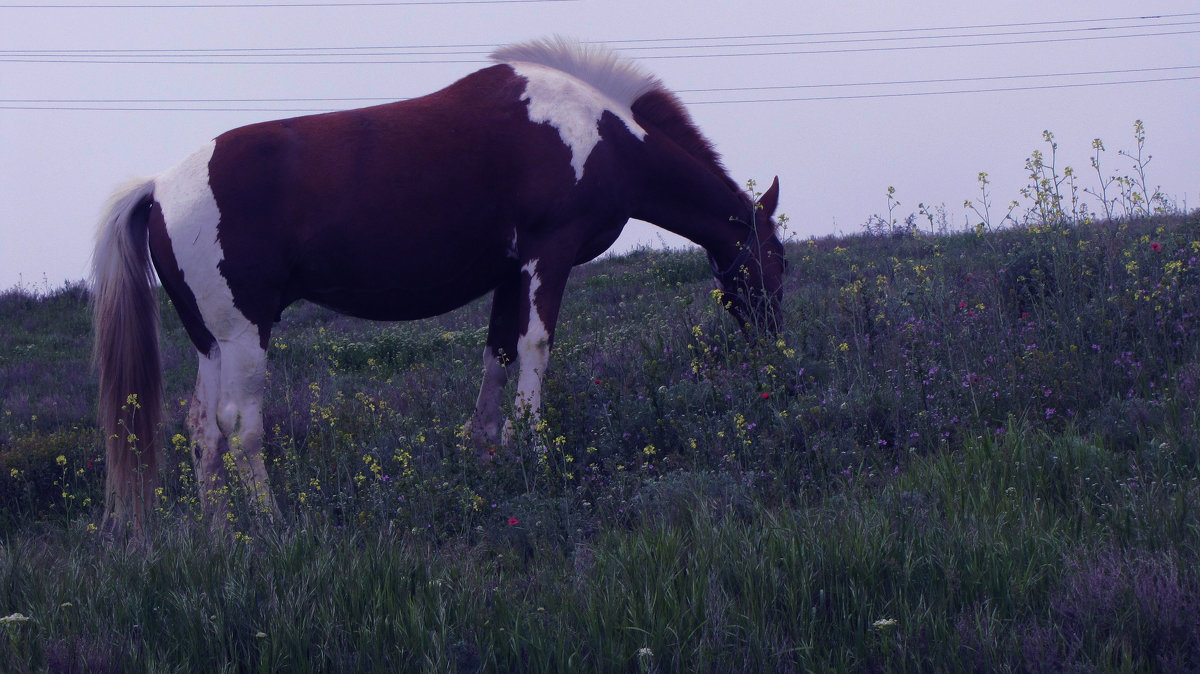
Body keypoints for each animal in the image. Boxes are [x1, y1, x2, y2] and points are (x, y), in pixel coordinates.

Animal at [91, 36, 787, 530]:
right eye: (777, 261)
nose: (774, 348)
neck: (598, 132)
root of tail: (159, 185)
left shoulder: (511, 273)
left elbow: (498, 356)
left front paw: (487, 453)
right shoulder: (548, 256)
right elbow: (536, 349)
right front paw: (534, 450)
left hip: (212, 342)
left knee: (203, 432)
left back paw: (220, 538)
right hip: (243, 334)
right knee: (240, 428)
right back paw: (270, 527)